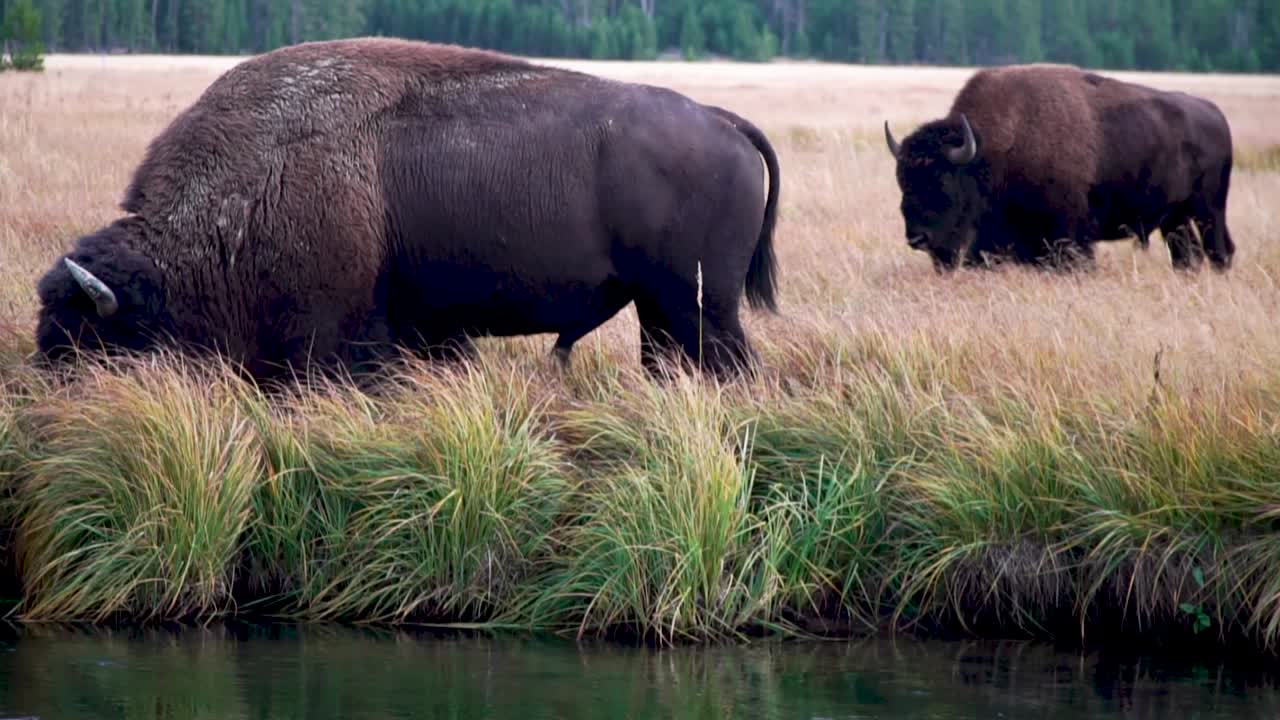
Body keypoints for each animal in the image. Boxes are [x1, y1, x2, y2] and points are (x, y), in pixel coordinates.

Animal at [36, 37, 780, 382]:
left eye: (88, 336)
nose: (48, 396)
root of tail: (721, 119)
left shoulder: (332, 336)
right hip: (659, 307)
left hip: (698, 304)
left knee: (728, 363)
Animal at [883, 63, 1234, 272]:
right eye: (902, 182)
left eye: (942, 182)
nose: (917, 238)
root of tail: (1216, 115)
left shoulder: (1069, 236)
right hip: (1175, 218)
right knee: (1187, 254)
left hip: (1209, 211)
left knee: (1219, 250)